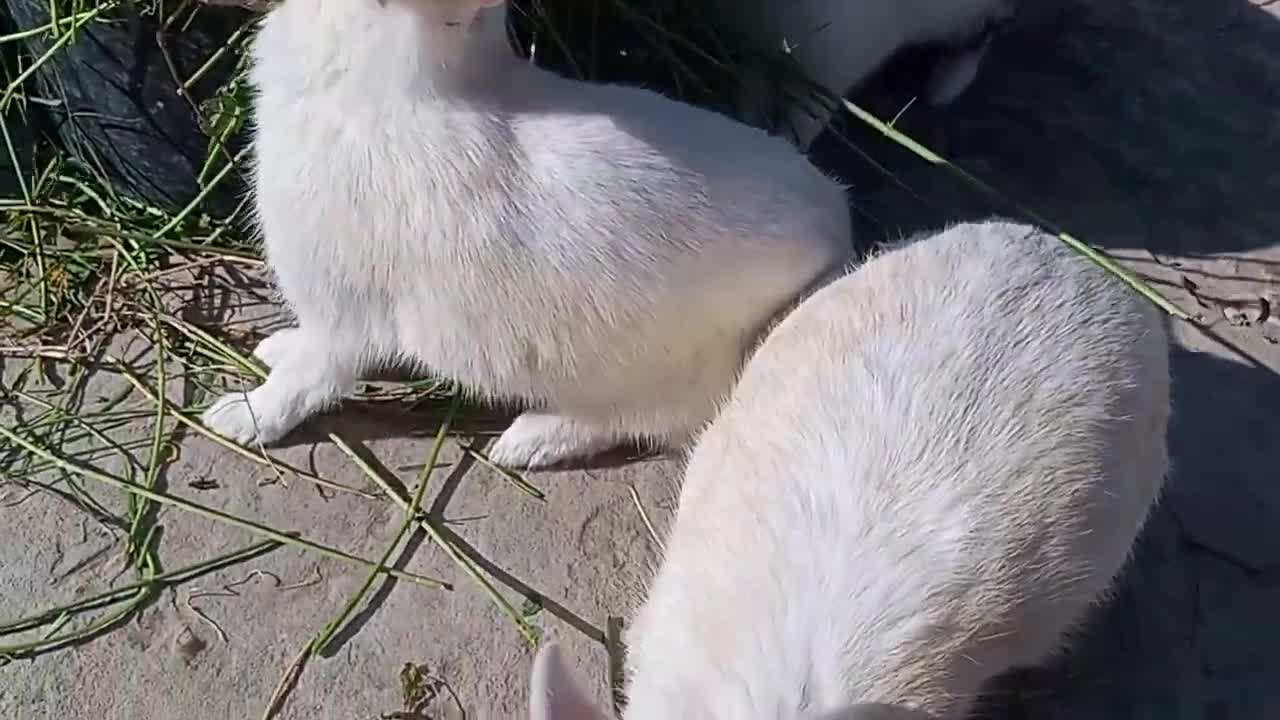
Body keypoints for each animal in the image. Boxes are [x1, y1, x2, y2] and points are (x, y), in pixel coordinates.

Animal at [202, 0, 849, 466]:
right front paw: (271, 349)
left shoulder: (341, 312)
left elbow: (307, 380)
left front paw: (236, 419)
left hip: (643, 375)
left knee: (630, 422)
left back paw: (524, 444)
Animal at [701, 0, 1018, 147]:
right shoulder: (754, 60)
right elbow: (748, 107)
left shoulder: (832, 75)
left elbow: (800, 130)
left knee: (987, 29)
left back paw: (945, 85)